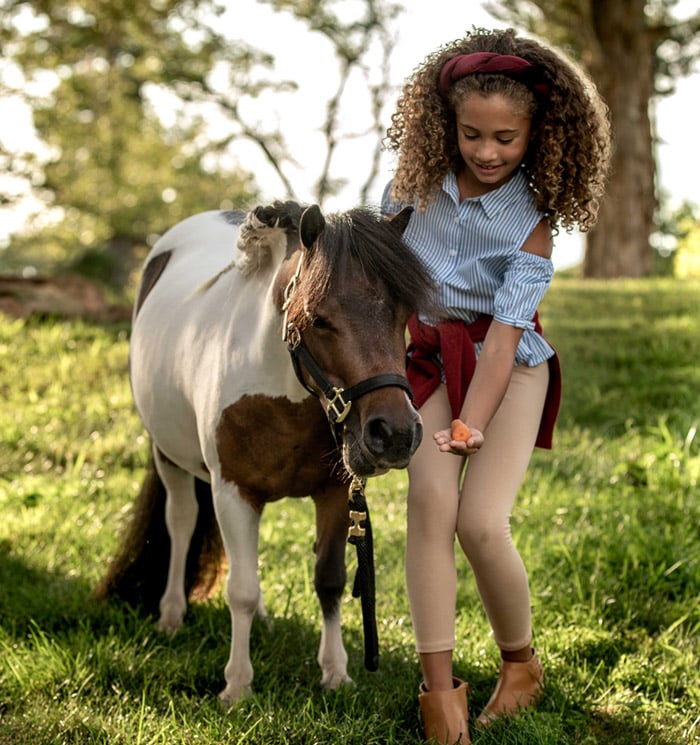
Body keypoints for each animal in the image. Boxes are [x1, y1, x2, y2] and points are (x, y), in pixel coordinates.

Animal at [96, 200, 435, 704]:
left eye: (404, 314)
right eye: (319, 318)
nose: (393, 433)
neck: (282, 389)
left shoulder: (333, 494)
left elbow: (329, 580)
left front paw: (335, 672)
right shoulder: (233, 491)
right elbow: (239, 589)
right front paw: (237, 686)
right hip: (168, 457)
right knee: (181, 523)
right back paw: (172, 615)